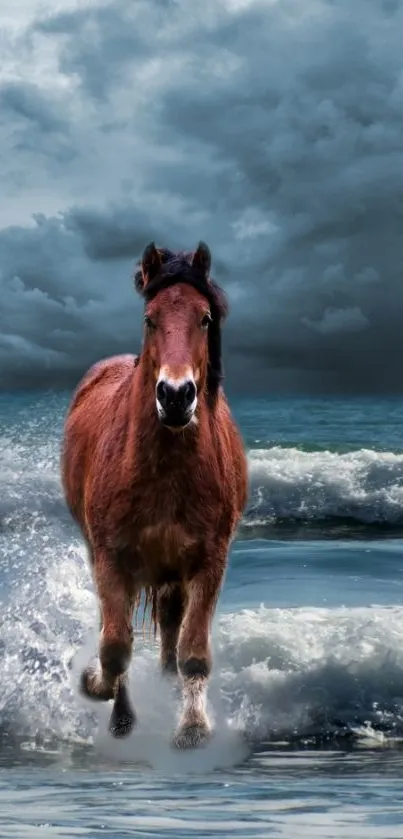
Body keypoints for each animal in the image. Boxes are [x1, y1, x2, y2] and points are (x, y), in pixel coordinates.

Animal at [61, 241, 248, 748]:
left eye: (204, 318)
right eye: (150, 318)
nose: (176, 395)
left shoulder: (209, 562)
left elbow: (193, 651)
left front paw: (193, 727)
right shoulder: (111, 558)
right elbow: (114, 646)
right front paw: (97, 688)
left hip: (172, 573)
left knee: (169, 631)